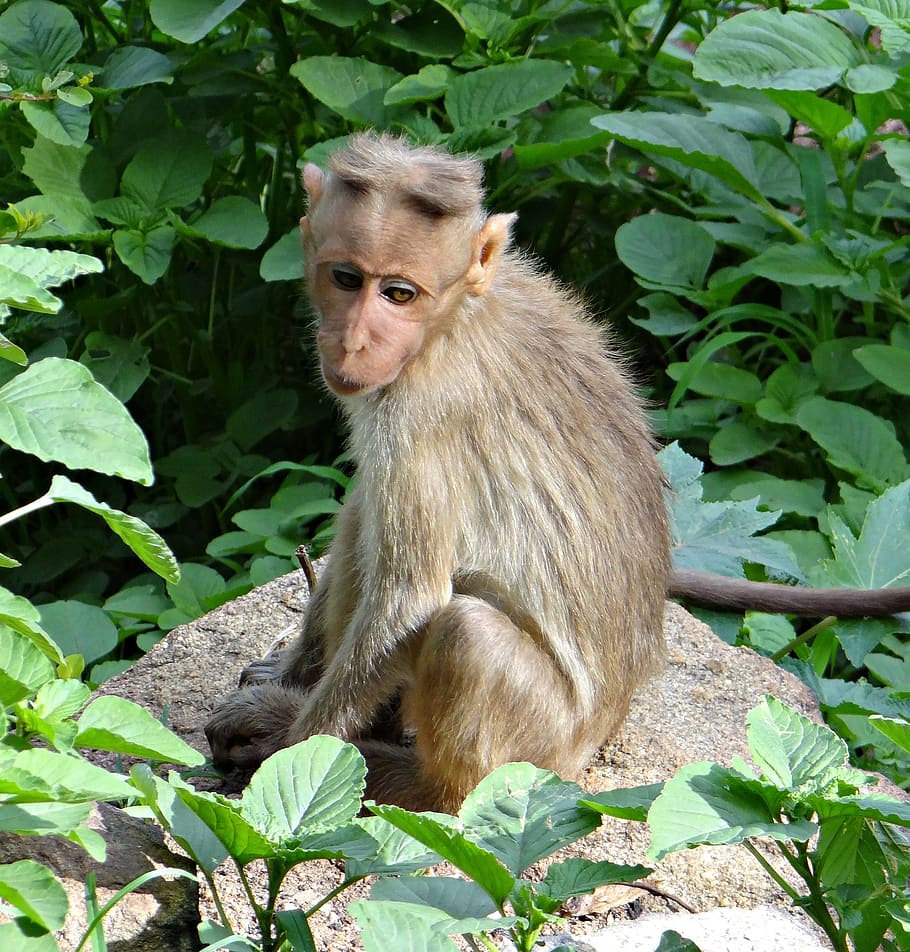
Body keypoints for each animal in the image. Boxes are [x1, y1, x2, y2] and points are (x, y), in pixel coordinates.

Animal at [205, 133, 910, 811]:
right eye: (347, 278)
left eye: (400, 293)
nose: (354, 341)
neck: (452, 320)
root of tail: (597, 739)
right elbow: (365, 517)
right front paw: (289, 675)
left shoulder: (420, 411)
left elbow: (410, 599)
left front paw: (286, 756)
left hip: (540, 738)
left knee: (463, 633)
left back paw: (418, 784)